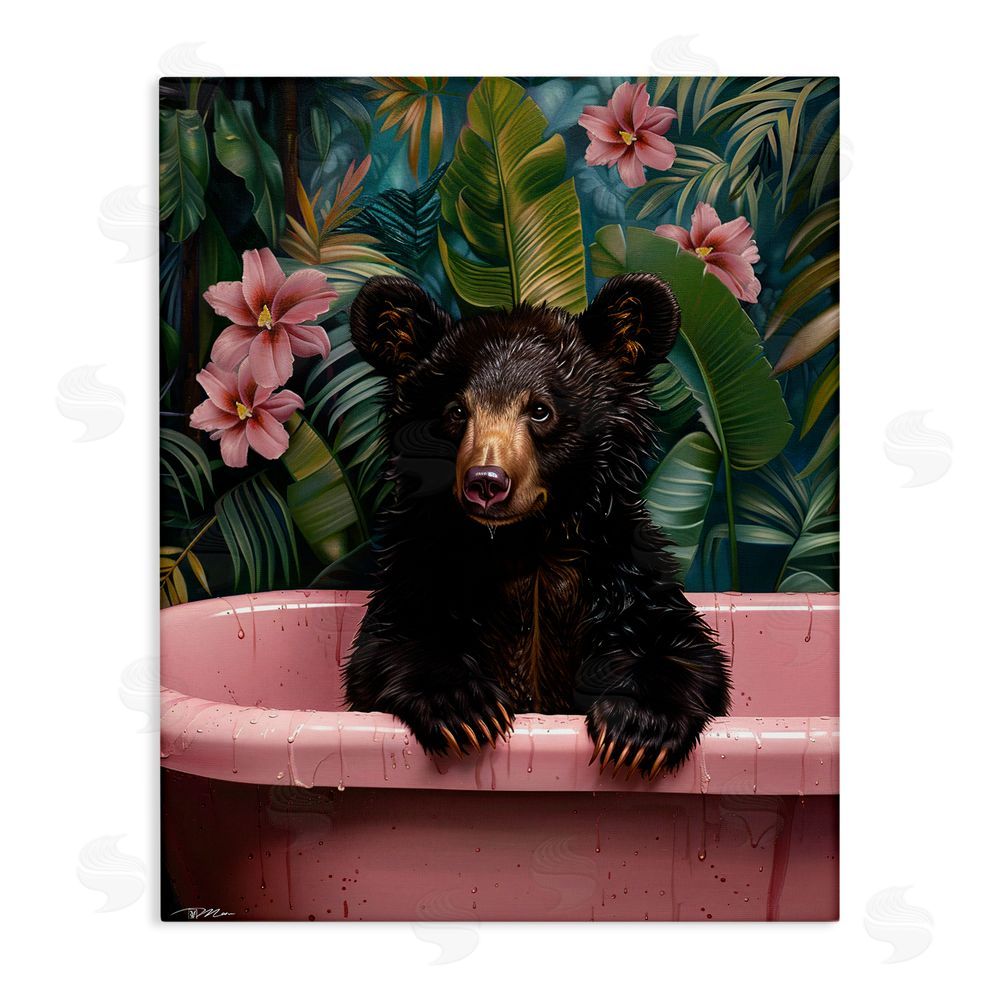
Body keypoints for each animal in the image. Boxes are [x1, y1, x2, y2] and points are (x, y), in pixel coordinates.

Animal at [343, 272, 731, 779]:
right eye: (457, 410)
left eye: (540, 409)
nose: (486, 482)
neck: (527, 542)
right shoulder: (423, 563)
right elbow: (391, 639)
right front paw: (466, 708)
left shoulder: (621, 569)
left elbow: (681, 644)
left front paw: (639, 727)